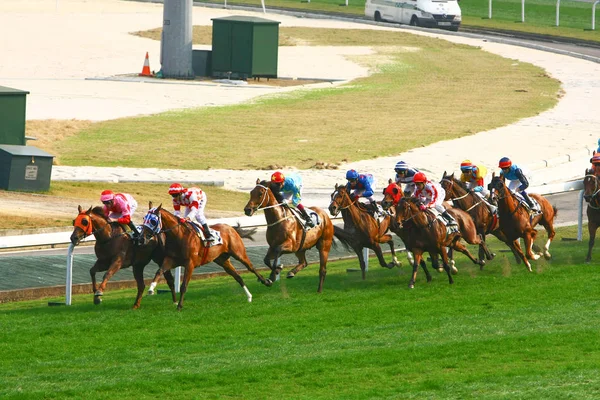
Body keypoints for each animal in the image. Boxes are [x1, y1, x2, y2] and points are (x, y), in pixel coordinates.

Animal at [139, 203, 270, 310]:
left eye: (153, 221)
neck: (179, 236)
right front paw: (151, 288)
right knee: (238, 277)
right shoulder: (170, 260)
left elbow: (184, 285)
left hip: (239, 253)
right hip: (222, 260)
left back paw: (266, 282)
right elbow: (159, 271)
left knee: (251, 267)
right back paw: (249, 296)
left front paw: (179, 306)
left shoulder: (190, 264)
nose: (141, 238)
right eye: (144, 218)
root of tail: (231, 228)